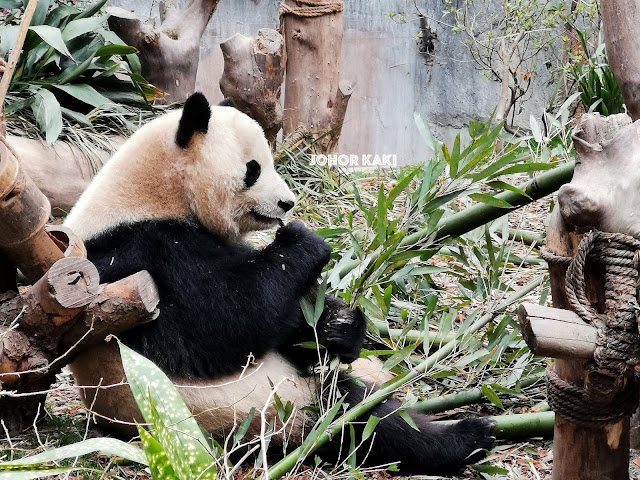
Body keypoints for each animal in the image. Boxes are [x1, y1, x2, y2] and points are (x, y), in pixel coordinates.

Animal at [65, 92, 492, 474]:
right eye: (254, 168)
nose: (287, 204)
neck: (157, 192)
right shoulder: (140, 255)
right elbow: (219, 326)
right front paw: (303, 240)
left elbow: (287, 322)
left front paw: (340, 327)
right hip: (256, 413)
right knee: (363, 422)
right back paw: (463, 439)